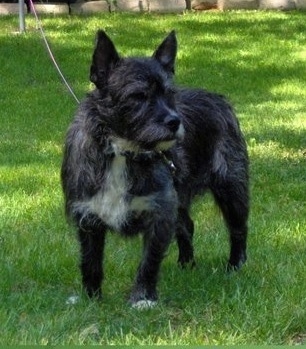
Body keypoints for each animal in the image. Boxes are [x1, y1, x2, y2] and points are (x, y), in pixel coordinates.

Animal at [60, 29, 249, 308]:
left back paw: (235, 266)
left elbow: (149, 261)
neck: (122, 151)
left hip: (232, 187)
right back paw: (186, 264)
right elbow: (90, 261)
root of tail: (218, 98)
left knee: (238, 229)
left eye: (170, 93)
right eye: (138, 96)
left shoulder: (160, 212)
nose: (175, 121)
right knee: (187, 225)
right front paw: (90, 298)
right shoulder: (89, 216)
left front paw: (143, 298)